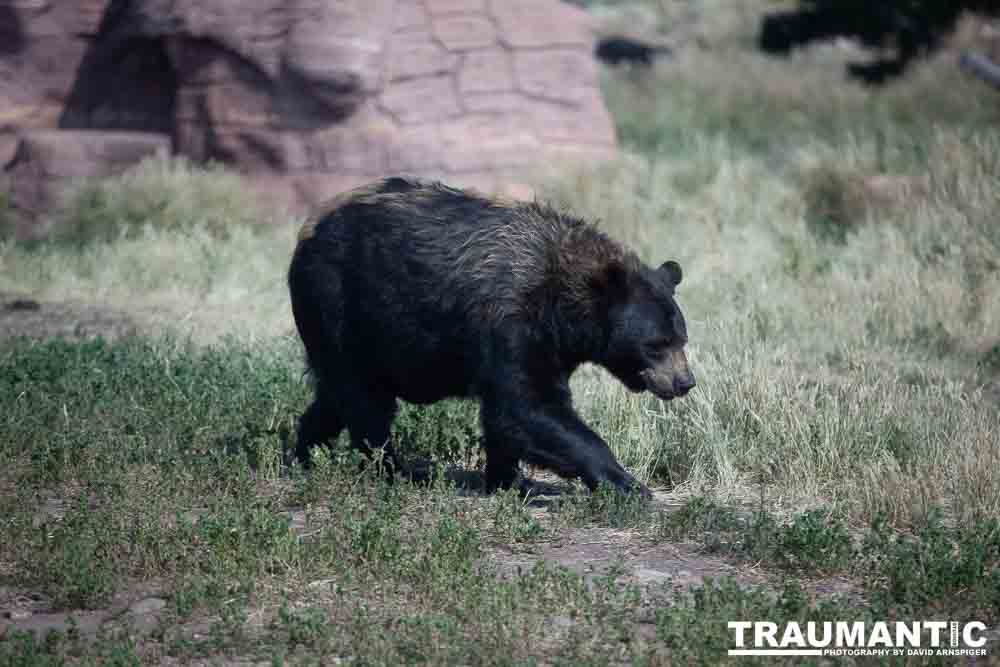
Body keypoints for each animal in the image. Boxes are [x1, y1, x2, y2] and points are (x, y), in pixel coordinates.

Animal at [288, 177, 696, 496]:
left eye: (682, 338)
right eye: (656, 344)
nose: (684, 382)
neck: (560, 307)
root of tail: (306, 229)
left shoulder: (549, 346)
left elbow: (512, 415)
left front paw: (509, 480)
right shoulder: (509, 322)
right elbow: (528, 406)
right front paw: (627, 483)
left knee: (336, 397)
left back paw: (302, 452)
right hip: (339, 303)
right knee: (364, 398)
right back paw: (392, 469)